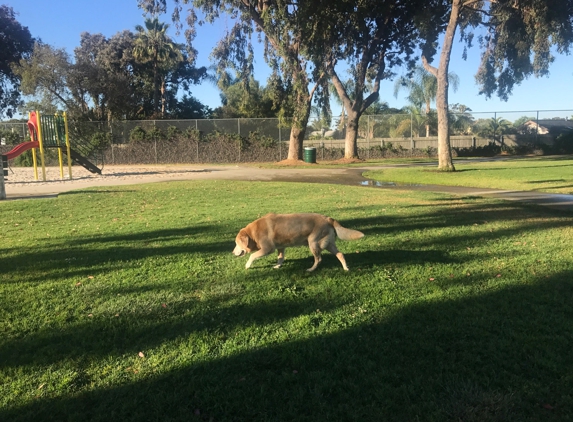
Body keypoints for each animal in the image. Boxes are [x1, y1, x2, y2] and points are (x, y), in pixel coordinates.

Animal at [231, 214, 362, 270]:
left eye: (236, 243)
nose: (232, 253)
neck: (253, 234)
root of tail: (328, 218)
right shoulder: (281, 247)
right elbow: (280, 258)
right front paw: (277, 266)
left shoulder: (267, 249)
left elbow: (252, 256)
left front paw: (247, 265)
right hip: (328, 244)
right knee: (340, 254)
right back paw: (345, 268)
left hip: (313, 243)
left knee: (319, 259)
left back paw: (311, 269)